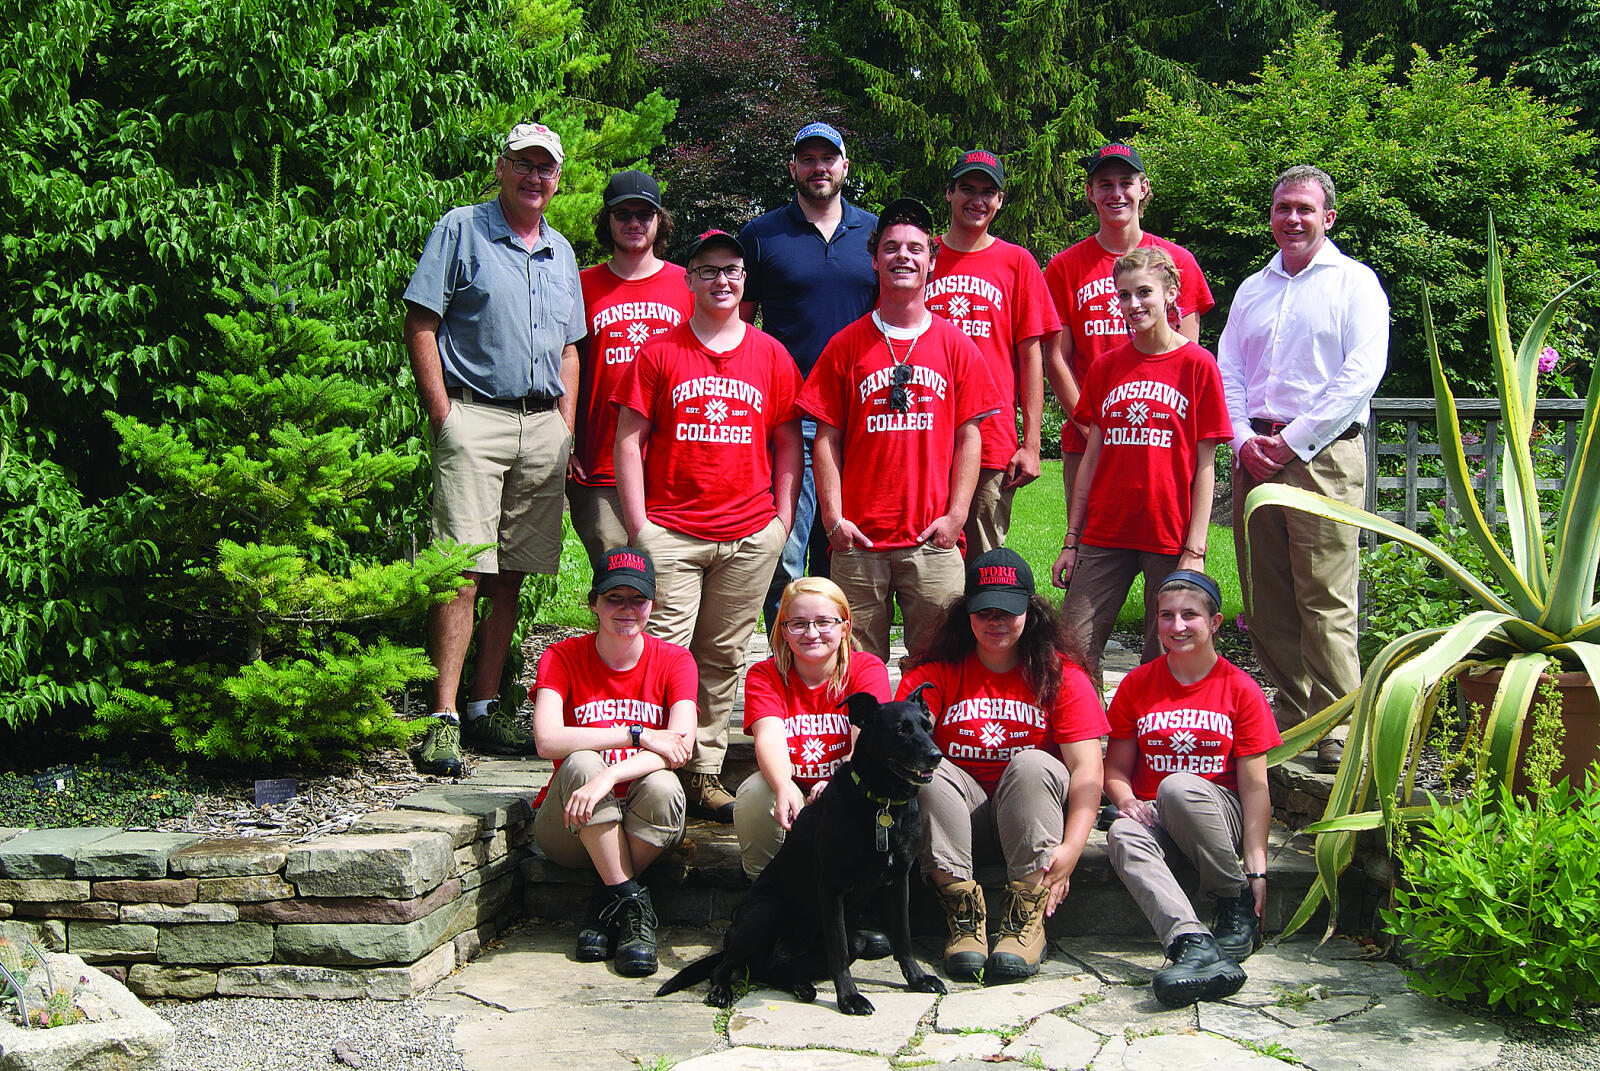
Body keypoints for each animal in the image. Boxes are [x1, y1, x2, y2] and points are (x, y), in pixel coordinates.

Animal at [652, 685, 940, 1011]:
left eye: (928, 727)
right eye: (900, 730)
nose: (936, 756)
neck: (883, 802)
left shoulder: (899, 879)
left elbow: (903, 936)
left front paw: (918, 979)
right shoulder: (831, 886)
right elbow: (839, 952)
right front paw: (849, 998)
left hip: (854, 940)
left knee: (774, 969)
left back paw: (801, 986)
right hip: (766, 910)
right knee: (726, 966)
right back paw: (722, 989)